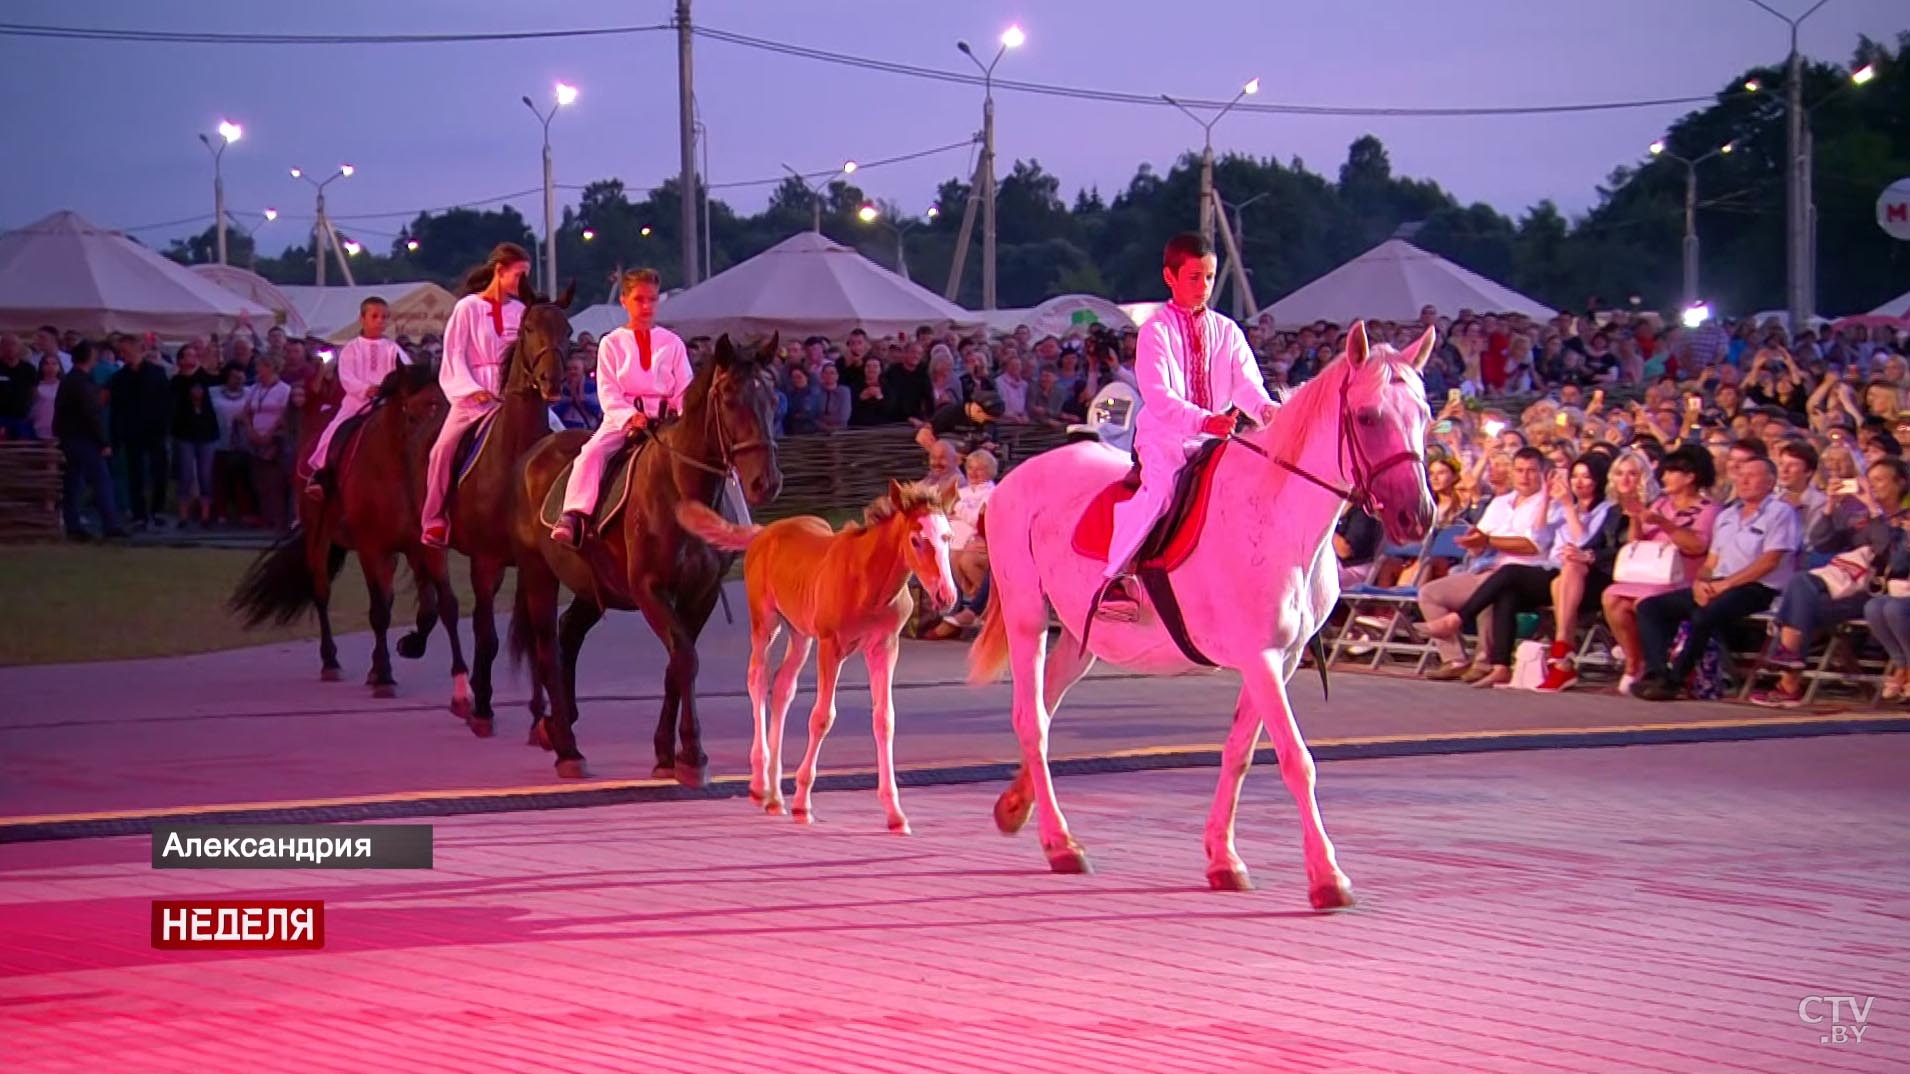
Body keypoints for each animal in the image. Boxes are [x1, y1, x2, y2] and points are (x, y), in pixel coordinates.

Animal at [508, 330, 783, 783]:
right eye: (729, 399)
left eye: (773, 398)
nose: (766, 482)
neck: (680, 492)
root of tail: (533, 453)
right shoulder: (649, 589)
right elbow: (684, 659)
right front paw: (692, 755)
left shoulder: (701, 594)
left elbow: (677, 664)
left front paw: (667, 753)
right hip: (537, 574)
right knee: (548, 646)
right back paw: (567, 747)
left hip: (592, 585)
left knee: (569, 633)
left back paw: (557, 727)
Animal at [679, 477, 962, 829]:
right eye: (915, 539)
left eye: (948, 536)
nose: (946, 595)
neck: (870, 583)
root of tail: (763, 532)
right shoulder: (831, 646)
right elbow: (822, 717)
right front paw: (803, 804)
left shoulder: (884, 647)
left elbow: (884, 719)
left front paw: (895, 814)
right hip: (766, 622)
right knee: (757, 678)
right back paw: (759, 787)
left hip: (800, 634)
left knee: (783, 687)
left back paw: (775, 797)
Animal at [970, 321, 1436, 905]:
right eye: (1369, 416)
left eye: (1425, 415)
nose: (1417, 516)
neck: (1279, 516)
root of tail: (1013, 481)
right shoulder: (1260, 658)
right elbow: (1295, 759)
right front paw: (1327, 875)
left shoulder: (1280, 661)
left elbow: (1239, 753)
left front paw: (1223, 858)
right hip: (1027, 614)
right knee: (1031, 719)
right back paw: (1060, 843)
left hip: (1081, 636)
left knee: (1047, 709)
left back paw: (1016, 806)